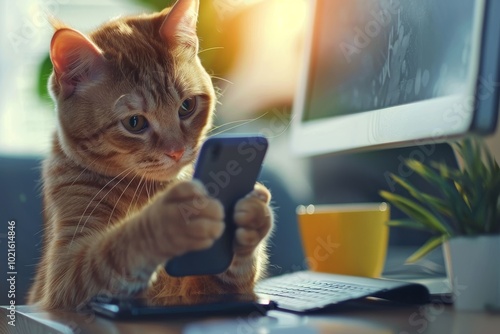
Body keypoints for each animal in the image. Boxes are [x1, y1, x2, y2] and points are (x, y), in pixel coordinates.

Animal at [27, 0, 274, 310]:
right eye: (135, 123)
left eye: (187, 106)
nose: (177, 150)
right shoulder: (63, 280)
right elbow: (114, 251)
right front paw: (168, 221)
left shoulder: (203, 290)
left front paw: (252, 215)